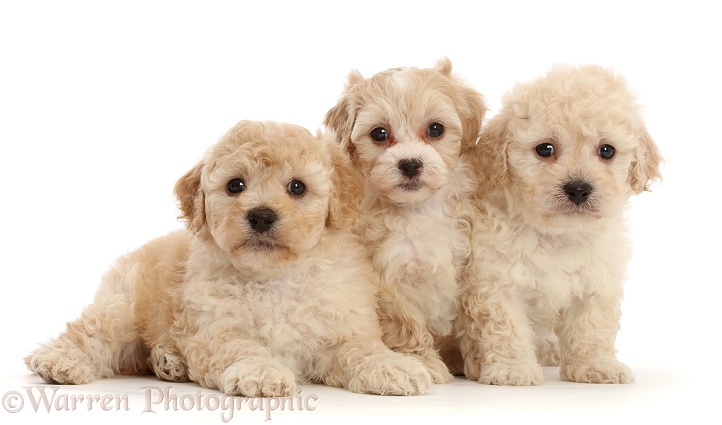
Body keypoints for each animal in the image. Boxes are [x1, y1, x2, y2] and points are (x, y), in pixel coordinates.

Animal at [23, 118, 434, 394]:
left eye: (297, 187)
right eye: (235, 185)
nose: (261, 215)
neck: (275, 276)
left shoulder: (343, 327)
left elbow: (362, 349)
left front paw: (394, 367)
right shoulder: (214, 328)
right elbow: (241, 348)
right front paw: (262, 373)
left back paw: (168, 361)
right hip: (123, 303)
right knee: (91, 332)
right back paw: (59, 360)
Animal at [324, 58, 484, 382]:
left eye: (435, 129)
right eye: (379, 133)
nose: (410, 164)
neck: (419, 210)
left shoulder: (466, 261)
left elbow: (471, 318)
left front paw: (479, 361)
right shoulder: (387, 278)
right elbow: (406, 324)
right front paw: (425, 362)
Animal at [458, 63, 660, 384]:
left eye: (607, 150)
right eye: (545, 149)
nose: (578, 188)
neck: (557, 236)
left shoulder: (598, 282)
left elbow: (593, 327)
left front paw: (596, 365)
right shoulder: (495, 282)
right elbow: (505, 328)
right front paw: (513, 368)